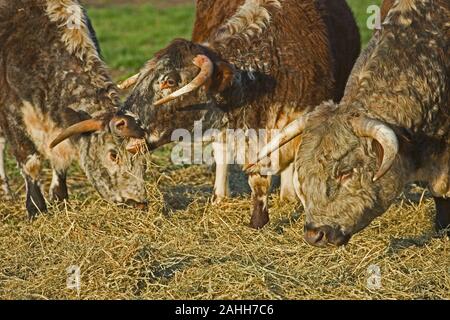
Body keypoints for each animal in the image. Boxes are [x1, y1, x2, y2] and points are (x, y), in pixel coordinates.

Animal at [0, 0, 147, 218]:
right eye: (113, 155)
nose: (138, 203)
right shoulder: (13, 113)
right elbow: (30, 162)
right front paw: (36, 208)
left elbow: (60, 161)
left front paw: (59, 198)